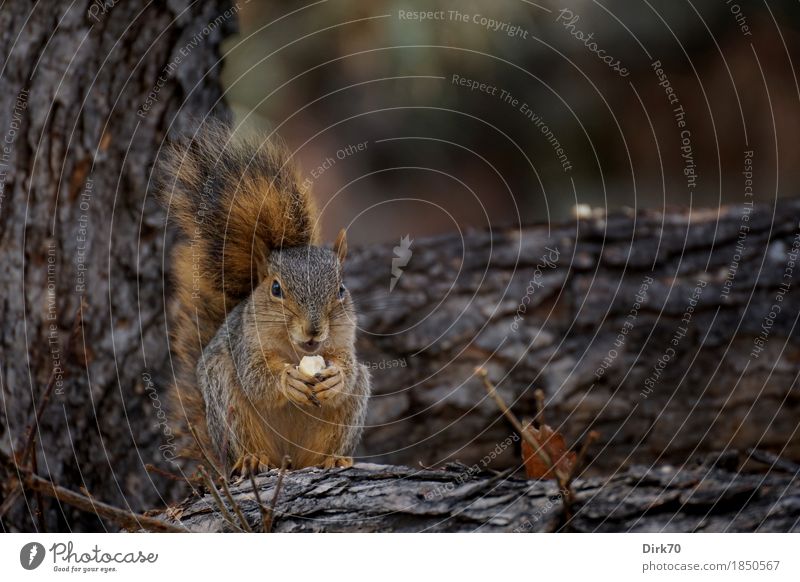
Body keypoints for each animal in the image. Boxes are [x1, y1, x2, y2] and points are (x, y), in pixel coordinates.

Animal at [158, 125, 374, 476]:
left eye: (341, 289)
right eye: (275, 289)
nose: (313, 330)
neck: (297, 350)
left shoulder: (343, 342)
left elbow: (349, 367)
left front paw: (336, 377)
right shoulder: (245, 343)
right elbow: (255, 378)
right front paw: (287, 379)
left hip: (348, 412)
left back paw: (331, 459)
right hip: (226, 396)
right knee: (247, 442)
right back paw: (252, 459)